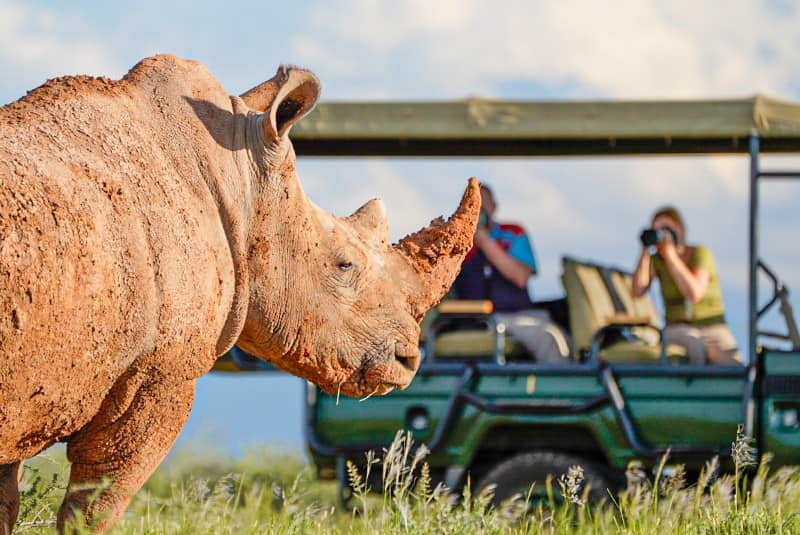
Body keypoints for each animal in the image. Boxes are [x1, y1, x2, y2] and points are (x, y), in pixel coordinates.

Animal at [0, 54, 478, 532]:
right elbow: (94, 507)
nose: (408, 361)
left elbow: (8, 502)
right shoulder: (158, 374)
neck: (241, 184)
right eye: (345, 265)